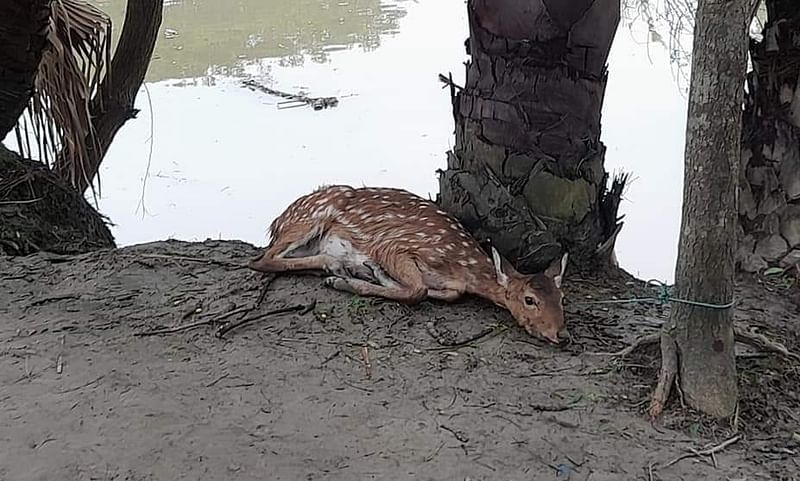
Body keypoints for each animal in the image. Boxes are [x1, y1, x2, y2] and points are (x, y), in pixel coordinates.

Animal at [250, 183, 568, 342]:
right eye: (529, 299)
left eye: (562, 298)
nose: (562, 335)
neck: (462, 267)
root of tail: (277, 220)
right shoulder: (394, 246)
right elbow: (417, 291)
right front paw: (352, 279)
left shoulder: (452, 287)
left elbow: (437, 292)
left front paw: (371, 273)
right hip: (312, 216)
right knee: (263, 260)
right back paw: (335, 267)